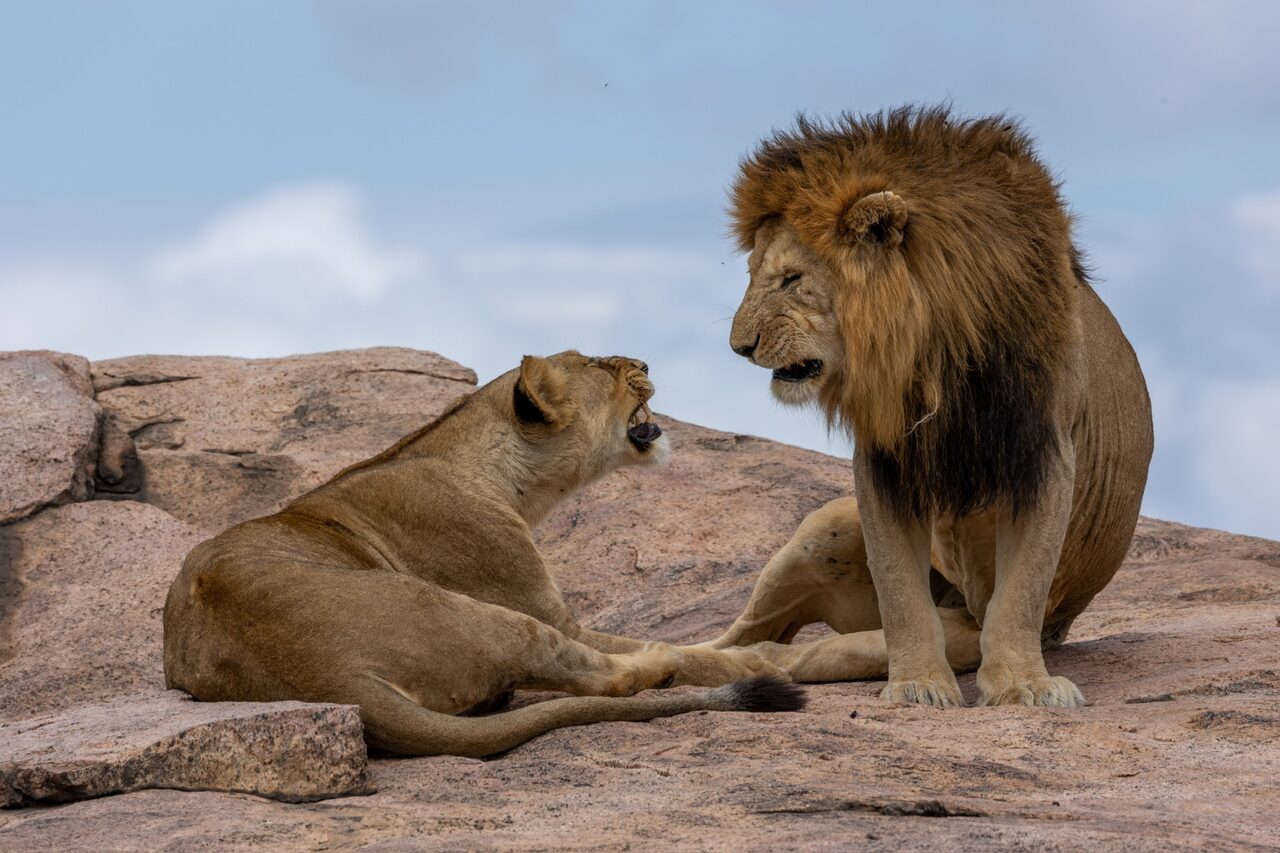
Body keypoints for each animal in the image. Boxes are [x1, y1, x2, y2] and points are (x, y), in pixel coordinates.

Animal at [163, 352, 803, 758]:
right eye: (598, 366)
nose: (645, 364)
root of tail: (331, 681)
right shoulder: (543, 609)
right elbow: (694, 653)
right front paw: (762, 656)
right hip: (483, 615)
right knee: (603, 674)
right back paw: (672, 664)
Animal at [714, 106, 1154, 708]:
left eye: (792, 279)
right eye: (752, 275)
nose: (739, 347)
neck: (934, 349)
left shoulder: (1044, 453)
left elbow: (1022, 588)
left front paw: (1024, 683)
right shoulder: (885, 460)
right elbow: (900, 589)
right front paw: (918, 685)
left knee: (808, 650)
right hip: (819, 530)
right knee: (747, 636)